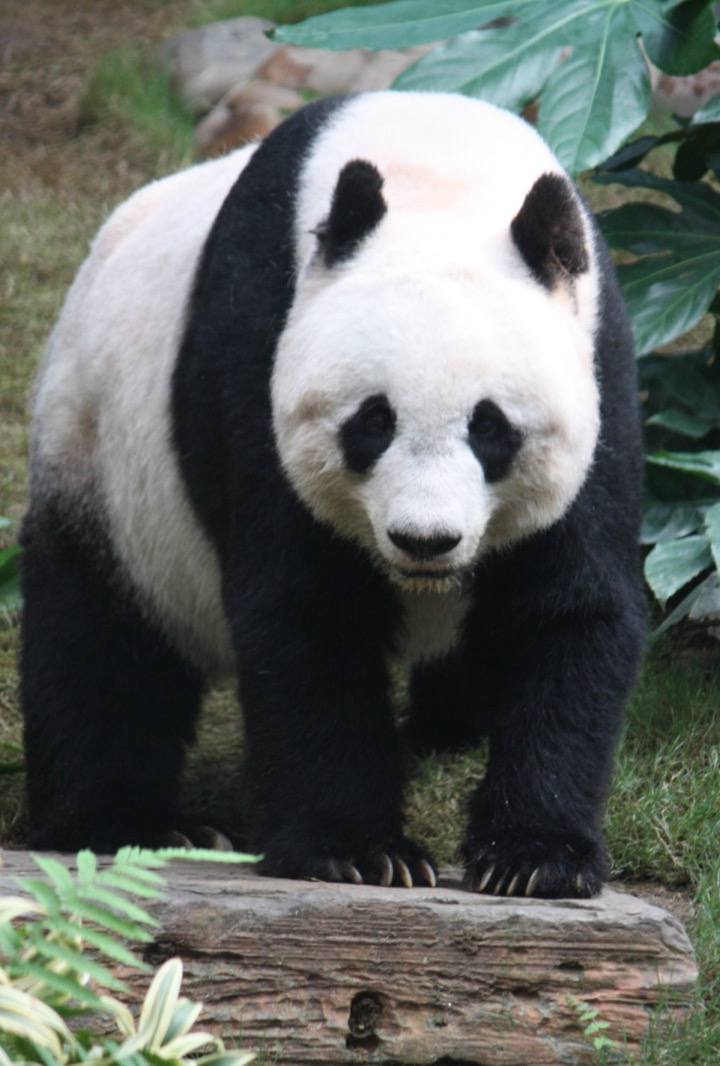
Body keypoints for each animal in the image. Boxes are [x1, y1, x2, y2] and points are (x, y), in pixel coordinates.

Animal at [21, 91, 646, 898]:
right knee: (100, 643)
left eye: (491, 428)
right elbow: (309, 612)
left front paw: (534, 858)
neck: (438, 173)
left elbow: (566, 608)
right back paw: (132, 823)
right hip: (101, 459)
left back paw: (444, 732)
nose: (424, 540)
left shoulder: (600, 367)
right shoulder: (257, 347)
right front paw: (361, 852)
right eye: (373, 422)